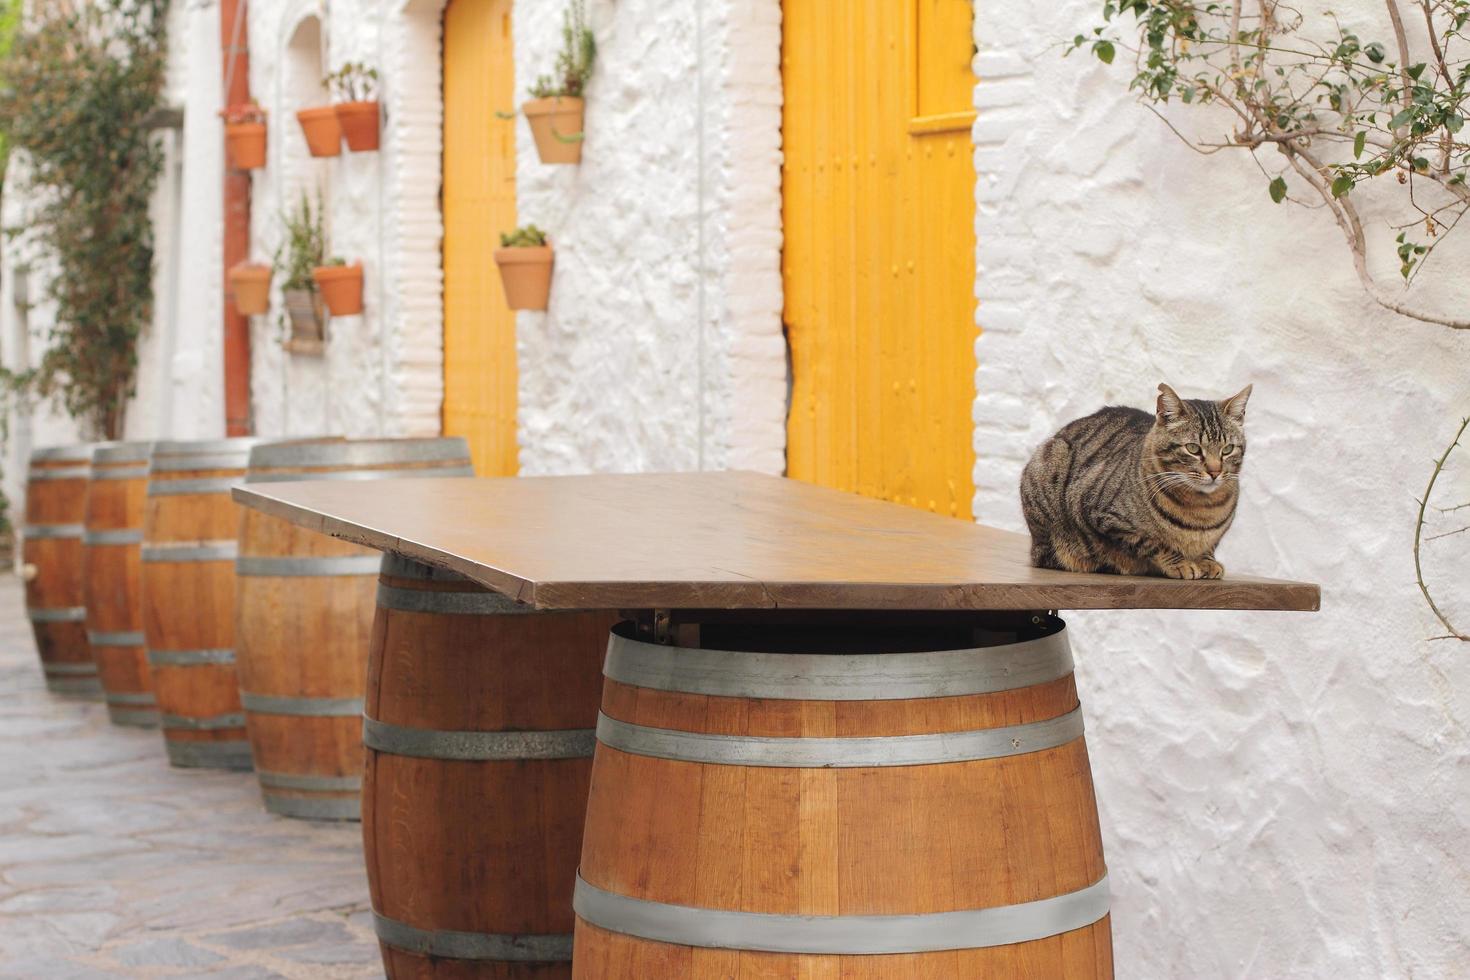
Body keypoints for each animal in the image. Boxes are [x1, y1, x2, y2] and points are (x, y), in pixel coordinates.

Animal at [1023, 382, 1252, 581]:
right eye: (1193, 448)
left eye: (1227, 449)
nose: (1215, 471)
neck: (1202, 509)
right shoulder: (1102, 515)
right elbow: (1152, 543)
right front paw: (1181, 563)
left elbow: (1209, 546)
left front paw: (1207, 561)